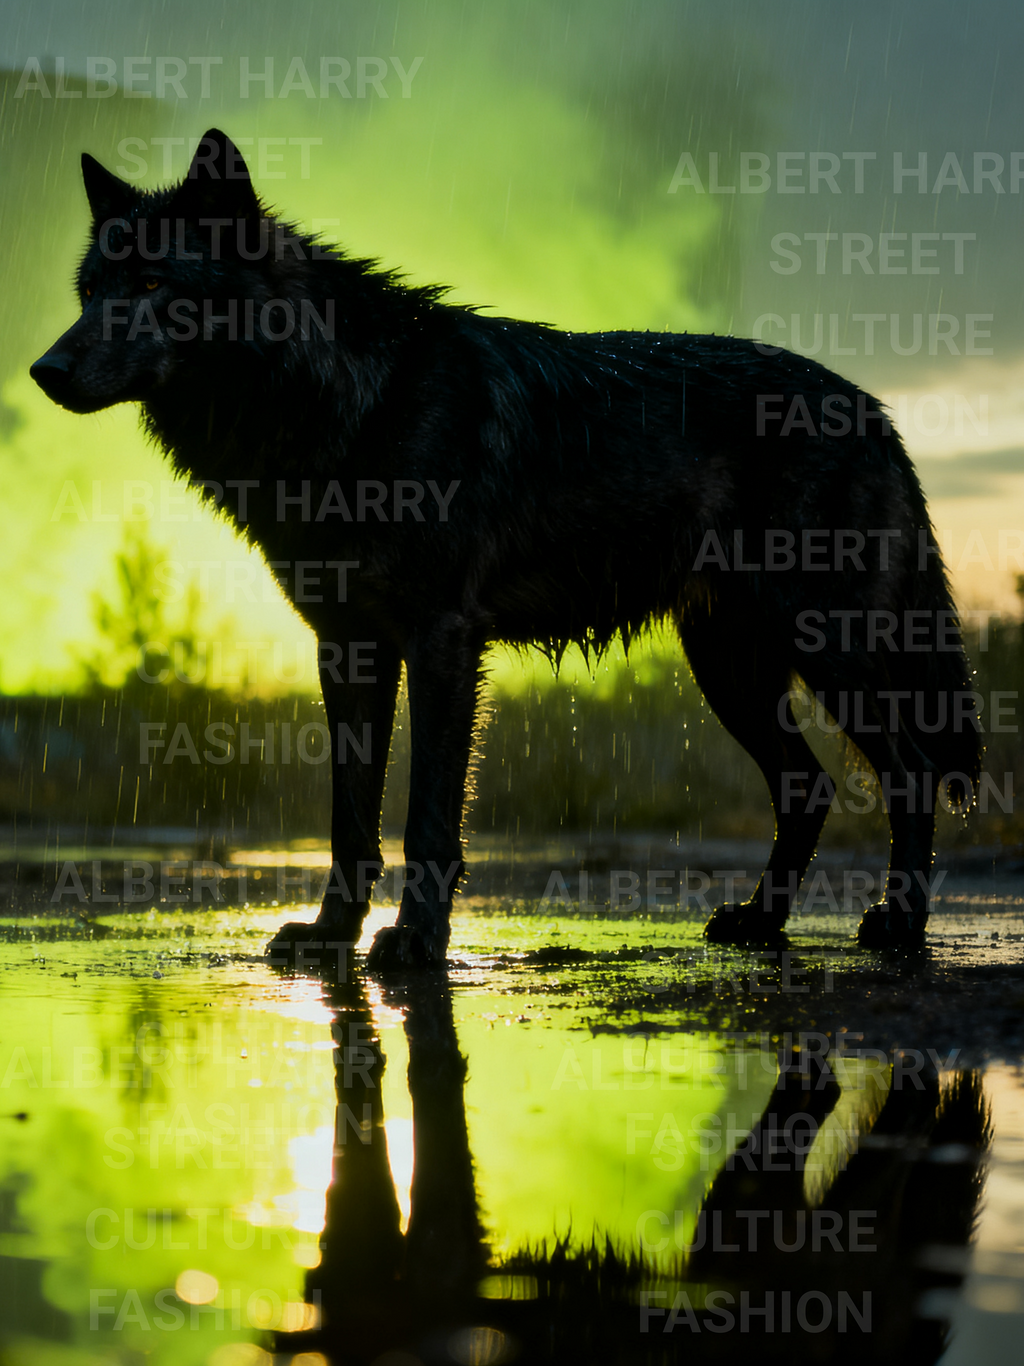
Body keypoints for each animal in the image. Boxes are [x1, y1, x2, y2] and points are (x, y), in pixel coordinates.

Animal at [31, 129, 981, 967]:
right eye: (87, 291)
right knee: (807, 785)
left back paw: (898, 926)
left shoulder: (442, 642)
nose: (45, 371)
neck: (340, 405)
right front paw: (333, 935)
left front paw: (415, 943)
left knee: (909, 774)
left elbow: (427, 818)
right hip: (731, 667)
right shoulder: (348, 648)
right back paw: (759, 923)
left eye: (153, 279)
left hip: (828, 652)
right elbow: (349, 821)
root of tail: (875, 410)